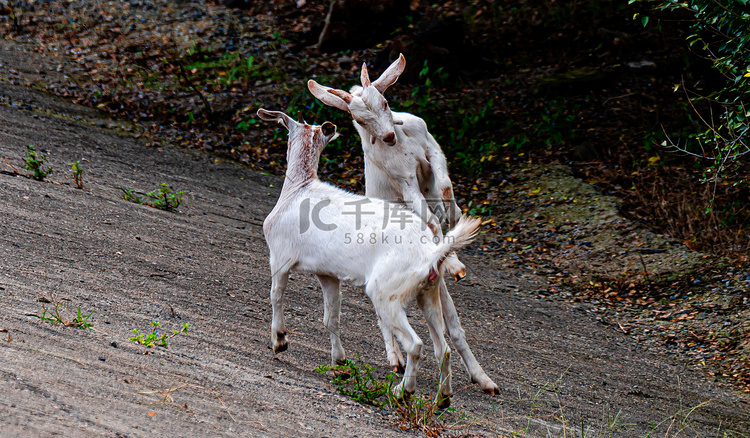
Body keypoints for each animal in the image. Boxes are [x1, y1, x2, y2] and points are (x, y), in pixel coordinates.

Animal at [258, 108, 482, 406]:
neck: (298, 190)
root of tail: (430, 252)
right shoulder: (327, 273)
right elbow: (331, 318)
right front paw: (340, 363)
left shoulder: (280, 256)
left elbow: (275, 296)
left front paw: (280, 341)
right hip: (428, 292)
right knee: (442, 348)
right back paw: (443, 399)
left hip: (386, 293)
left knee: (416, 344)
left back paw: (402, 391)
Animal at [308, 54, 502, 396]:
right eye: (359, 120)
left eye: (385, 102)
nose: (387, 137)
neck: (400, 143)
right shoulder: (406, 180)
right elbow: (430, 218)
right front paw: (455, 262)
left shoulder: (431, 149)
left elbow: (446, 189)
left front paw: (454, 224)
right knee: (385, 311)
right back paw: (397, 358)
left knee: (451, 325)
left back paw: (483, 379)